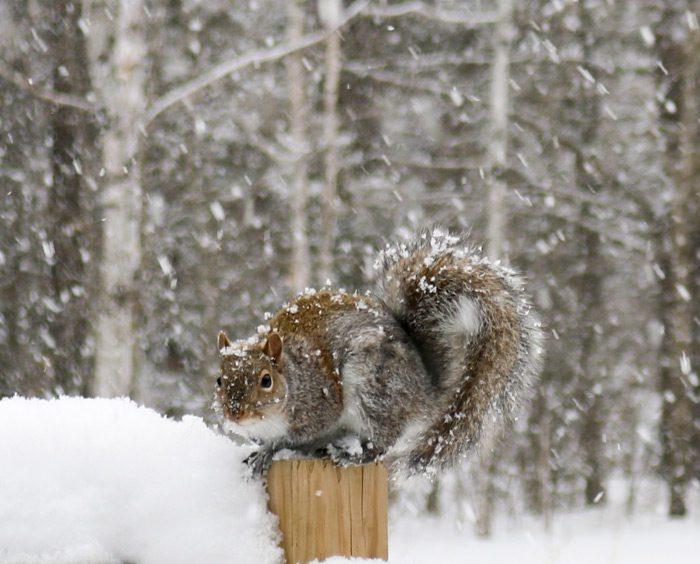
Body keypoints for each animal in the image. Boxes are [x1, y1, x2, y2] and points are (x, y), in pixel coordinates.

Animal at [215, 228, 543, 476]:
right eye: (219, 380)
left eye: (266, 380)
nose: (235, 413)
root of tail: (426, 392)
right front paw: (260, 449)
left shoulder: (319, 404)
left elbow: (298, 436)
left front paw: (270, 451)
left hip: (373, 389)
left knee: (381, 442)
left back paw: (351, 455)